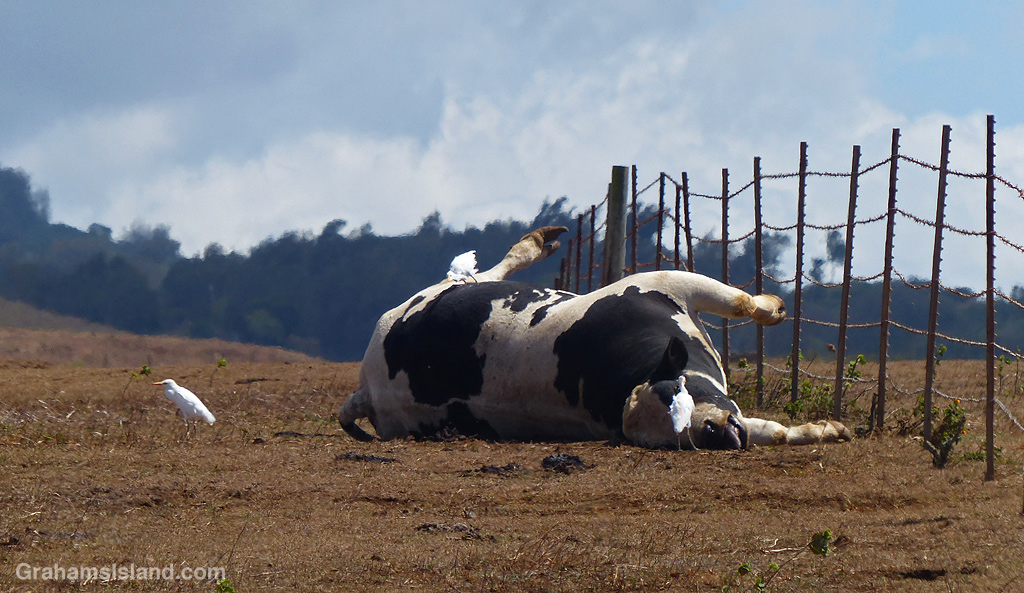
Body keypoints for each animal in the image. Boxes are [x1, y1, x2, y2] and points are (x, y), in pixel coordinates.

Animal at [337, 226, 851, 449]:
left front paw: (825, 429)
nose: (711, 432)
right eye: (673, 436)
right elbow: (742, 302)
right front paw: (777, 306)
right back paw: (536, 241)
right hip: (435, 292)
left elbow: (774, 430)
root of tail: (367, 387)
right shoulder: (667, 280)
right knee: (473, 272)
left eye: (678, 390)